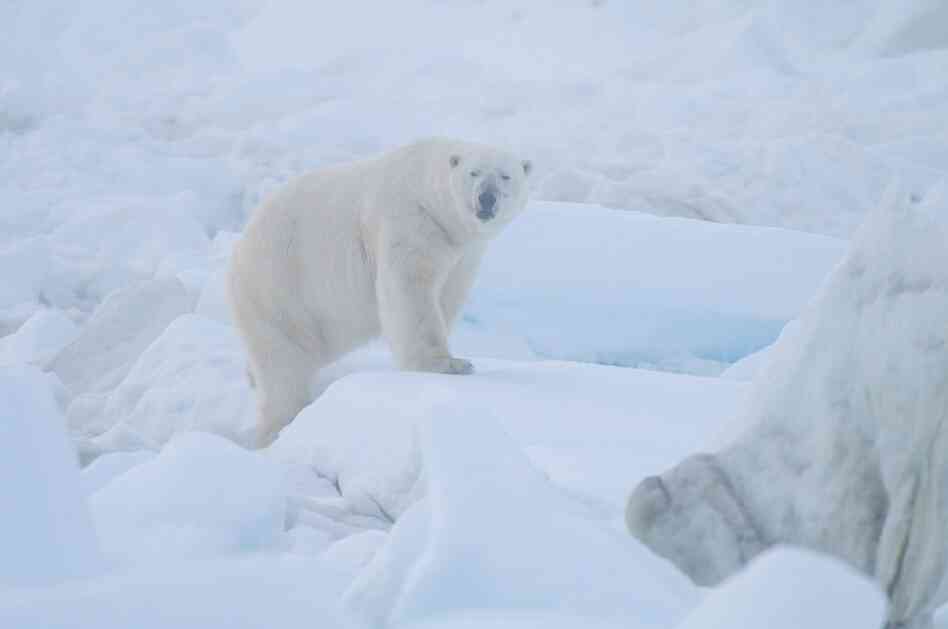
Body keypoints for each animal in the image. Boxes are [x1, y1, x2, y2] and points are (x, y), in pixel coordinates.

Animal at [228, 138, 531, 447]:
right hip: (280, 285)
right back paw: (279, 424)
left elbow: (447, 295)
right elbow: (410, 290)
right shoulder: (410, 222)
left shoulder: (463, 253)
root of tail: (241, 247)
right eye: (474, 172)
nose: (487, 198)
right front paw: (448, 364)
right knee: (283, 361)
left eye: (505, 175)